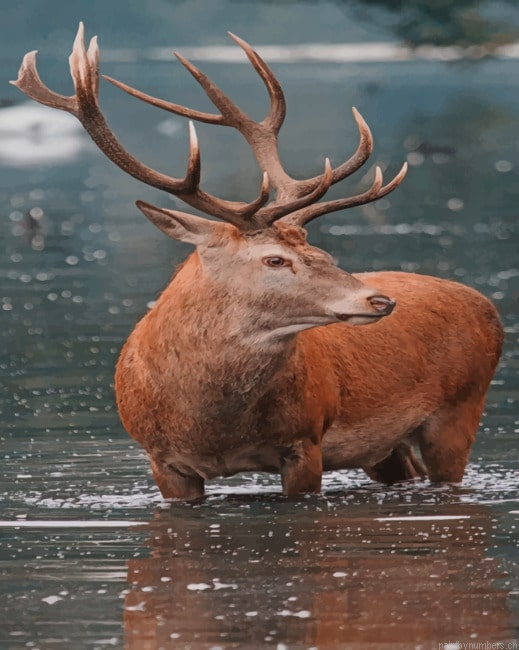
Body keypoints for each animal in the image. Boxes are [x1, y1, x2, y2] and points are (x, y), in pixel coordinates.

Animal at [12, 24, 504, 500]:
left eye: (321, 252)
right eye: (275, 260)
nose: (380, 301)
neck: (212, 427)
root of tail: (488, 307)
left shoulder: (305, 442)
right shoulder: (161, 460)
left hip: (460, 409)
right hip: (387, 446)